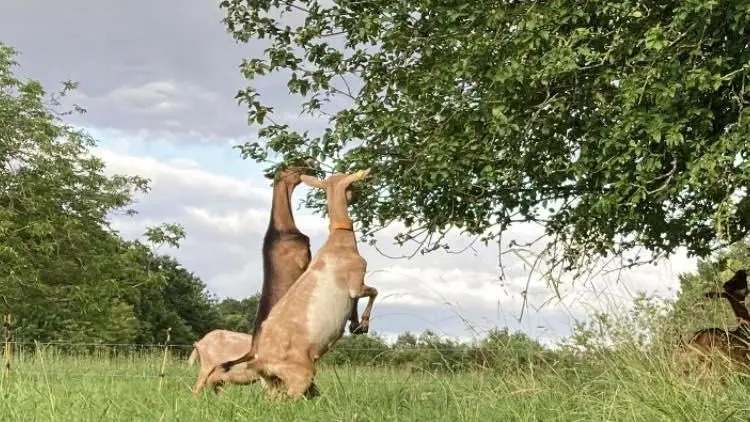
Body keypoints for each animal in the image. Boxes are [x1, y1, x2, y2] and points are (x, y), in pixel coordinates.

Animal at [212, 167, 376, 398]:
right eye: (351, 185)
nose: (359, 195)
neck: (338, 242)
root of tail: (261, 361)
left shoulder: (353, 291)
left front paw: (355, 325)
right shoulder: (356, 283)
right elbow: (373, 292)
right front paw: (364, 324)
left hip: (274, 382)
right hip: (301, 377)